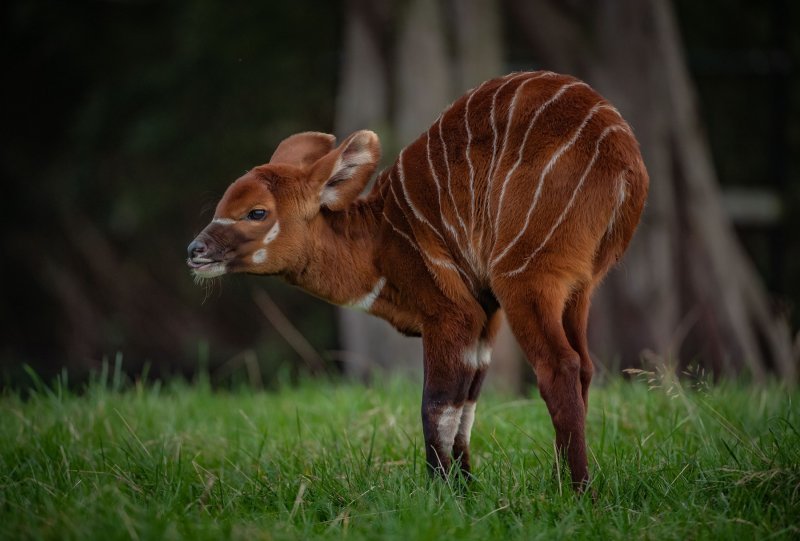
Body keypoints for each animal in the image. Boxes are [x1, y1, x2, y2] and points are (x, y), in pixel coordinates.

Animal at [189, 69, 648, 488]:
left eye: (257, 212)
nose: (195, 251)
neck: (380, 240)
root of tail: (625, 163)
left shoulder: (451, 312)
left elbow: (437, 405)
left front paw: (441, 491)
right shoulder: (484, 319)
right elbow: (466, 404)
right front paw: (467, 486)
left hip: (525, 276)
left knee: (559, 366)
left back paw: (577, 491)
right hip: (580, 286)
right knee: (584, 366)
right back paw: (559, 479)